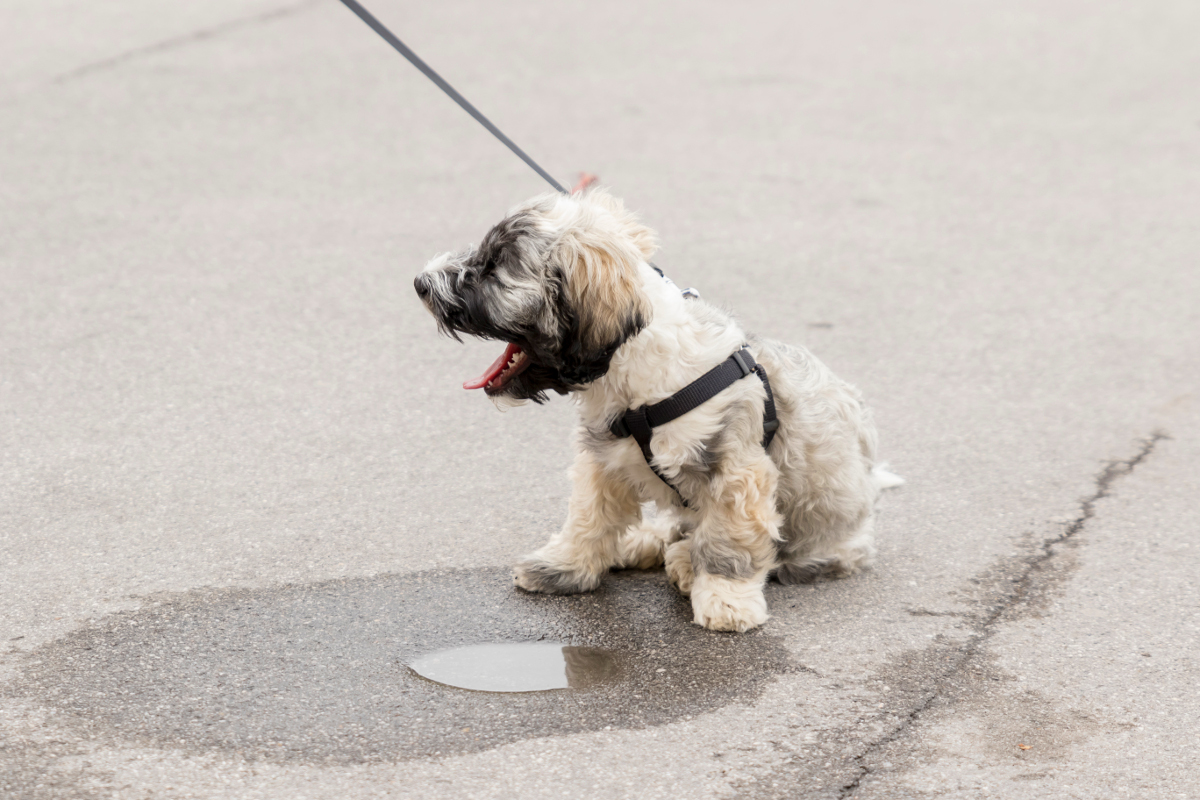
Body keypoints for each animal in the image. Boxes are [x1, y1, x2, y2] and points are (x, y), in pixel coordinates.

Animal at [415, 189, 902, 633]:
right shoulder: (604, 460)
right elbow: (588, 518)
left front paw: (726, 598)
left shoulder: (736, 467)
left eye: (493, 267)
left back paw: (686, 561)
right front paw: (565, 565)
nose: (420, 283)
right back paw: (646, 543)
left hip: (822, 542)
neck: (635, 379)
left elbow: (728, 541)